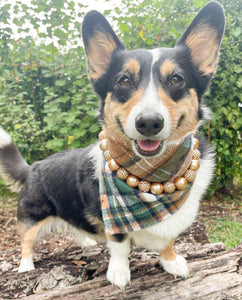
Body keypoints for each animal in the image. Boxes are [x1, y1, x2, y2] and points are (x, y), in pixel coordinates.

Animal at [0, 1, 224, 290]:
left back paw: (85, 240)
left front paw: (171, 261)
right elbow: (119, 245)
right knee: (26, 243)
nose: (149, 122)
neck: (153, 176)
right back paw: (26, 265)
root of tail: (33, 167)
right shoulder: (112, 222)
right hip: (32, 218)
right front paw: (119, 273)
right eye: (124, 81)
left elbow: (169, 241)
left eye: (177, 79)